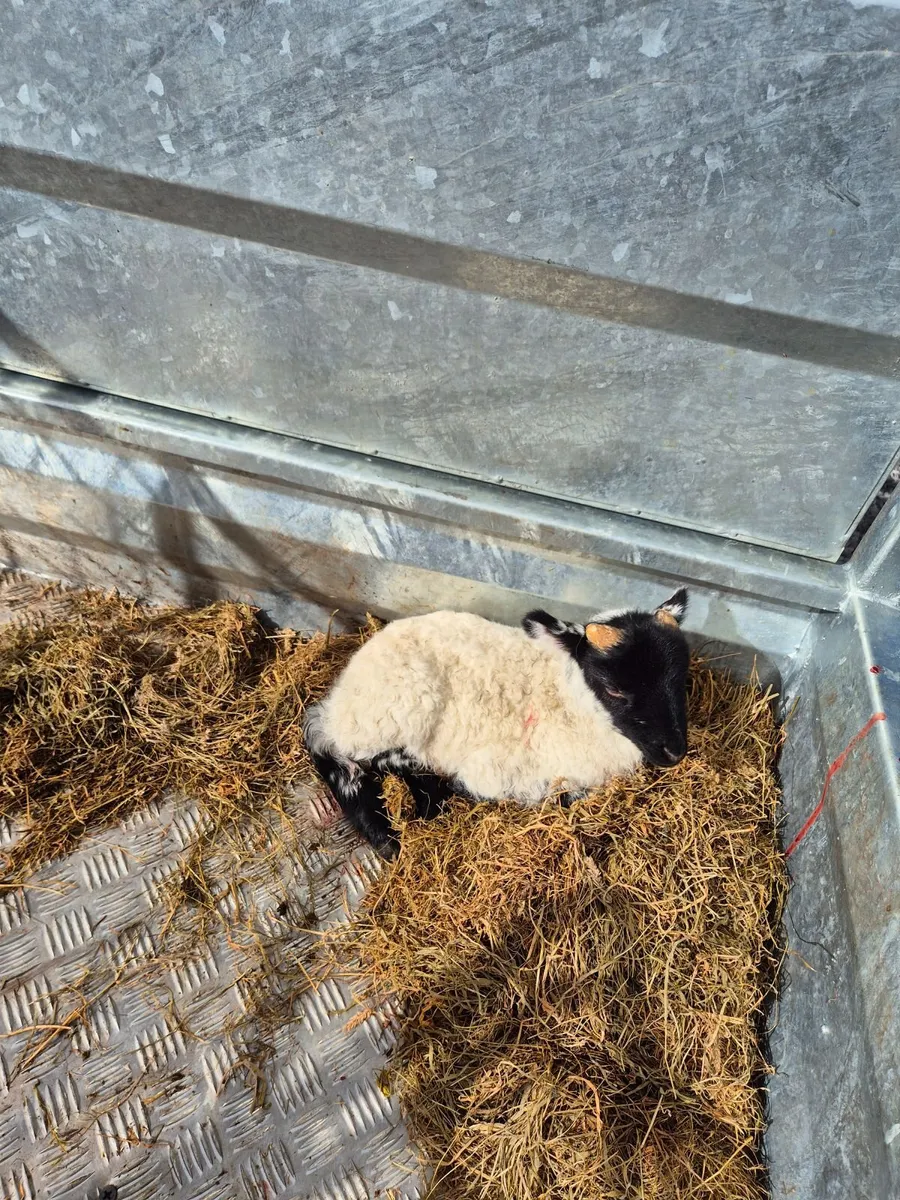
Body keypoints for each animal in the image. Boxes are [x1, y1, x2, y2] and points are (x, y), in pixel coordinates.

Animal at [304, 588, 689, 857]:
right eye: (613, 689)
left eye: (681, 677)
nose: (675, 752)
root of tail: (337, 700)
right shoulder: (501, 772)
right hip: (396, 713)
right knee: (363, 759)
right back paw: (401, 828)